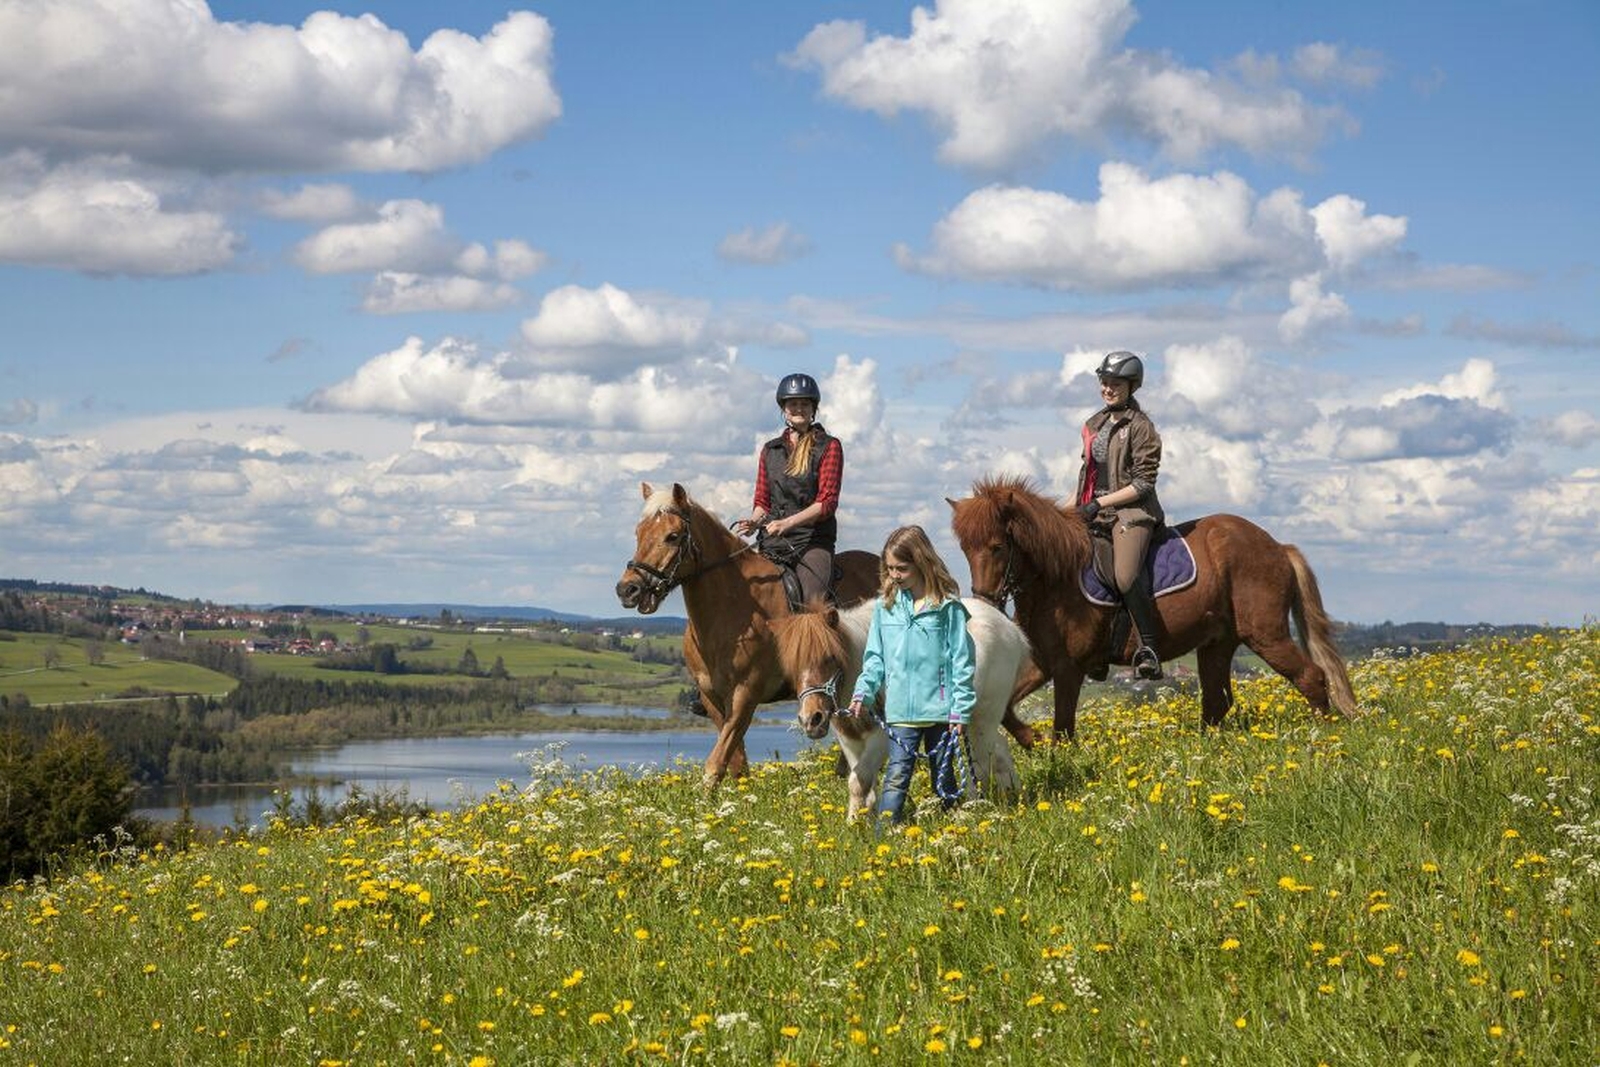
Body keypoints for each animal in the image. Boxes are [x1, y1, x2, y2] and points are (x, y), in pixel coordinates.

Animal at [614, 483, 889, 783]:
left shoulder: (745, 696)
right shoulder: (713, 699)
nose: (628, 590)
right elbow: (736, 764)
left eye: (672, 536)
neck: (730, 611)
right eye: (639, 533)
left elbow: (716, 764)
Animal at [940, 476, 1356, 739]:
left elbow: (1063, 728)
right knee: (1217, 702)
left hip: (1265, 635)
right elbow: (1008, 709)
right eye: (965, 548)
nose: (987, 603)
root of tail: (1277, 547)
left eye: (997, 546)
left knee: (1310, 677)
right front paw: (1031, 739)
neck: (1056, 578)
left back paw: (1324, 739)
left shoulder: (1069, 668)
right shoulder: (1043, 662)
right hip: (1217, 644)